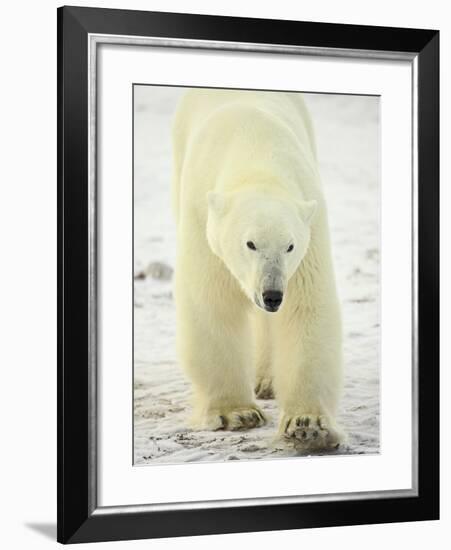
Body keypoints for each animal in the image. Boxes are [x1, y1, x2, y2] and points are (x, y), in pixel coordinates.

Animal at [171, 89, 344, 452]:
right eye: (250, 243)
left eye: (289, 245)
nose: (272, 294)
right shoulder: (202, 219)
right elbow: (212, 303)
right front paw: (236, 413)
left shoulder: (309, 228)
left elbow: (306, 307)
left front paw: (307, 425)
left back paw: (267, 380)